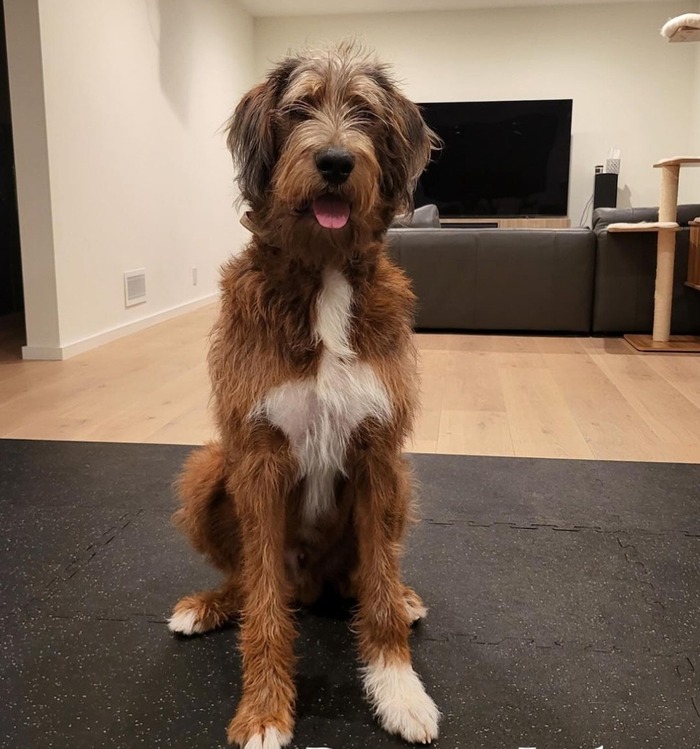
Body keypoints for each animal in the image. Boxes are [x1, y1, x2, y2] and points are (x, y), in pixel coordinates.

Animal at [170, 45, 440, 748]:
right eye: (298, 110)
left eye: (365, 114)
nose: (337, 161)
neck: (323, 272)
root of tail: (314, 582)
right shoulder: (259, 457)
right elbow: (263, 604)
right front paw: (265, 710)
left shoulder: (377, 453)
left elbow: (377, 592)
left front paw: (399, 689)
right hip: (210, 468)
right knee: (246, 580)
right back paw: (209, 605)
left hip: (402, 484)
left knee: (371, 573)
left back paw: (404, 596)